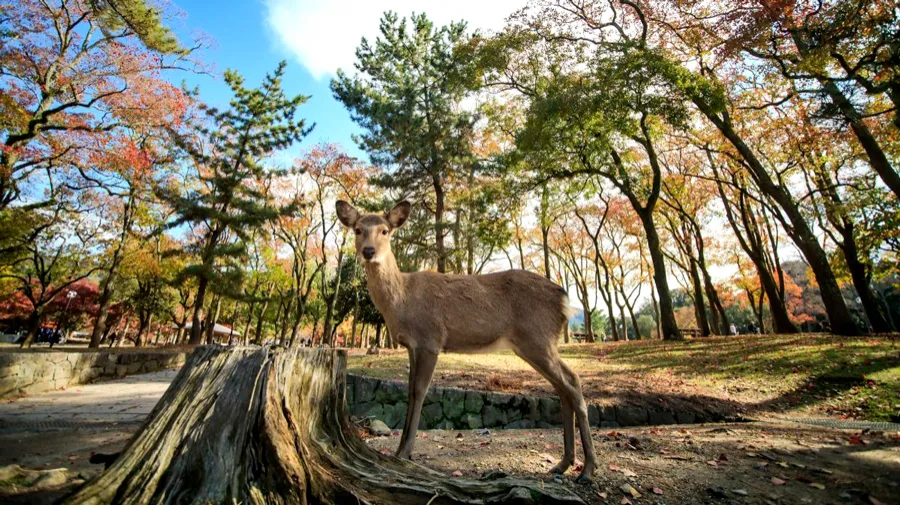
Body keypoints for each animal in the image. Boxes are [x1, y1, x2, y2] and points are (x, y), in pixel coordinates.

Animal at [338, 199, 596, 482]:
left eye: (385, 230)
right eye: (358, 230)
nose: (369, 251)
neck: (401, 303)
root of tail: (564, 301)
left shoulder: (430, 339)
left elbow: (419, 391)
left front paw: (404, 452)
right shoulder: (412, 346)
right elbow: (409, 391)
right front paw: (400, 450)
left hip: (537, 338)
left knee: (572, 381)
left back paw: (588, 469)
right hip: (535, 343)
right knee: (563, 386)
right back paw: (563, 463)